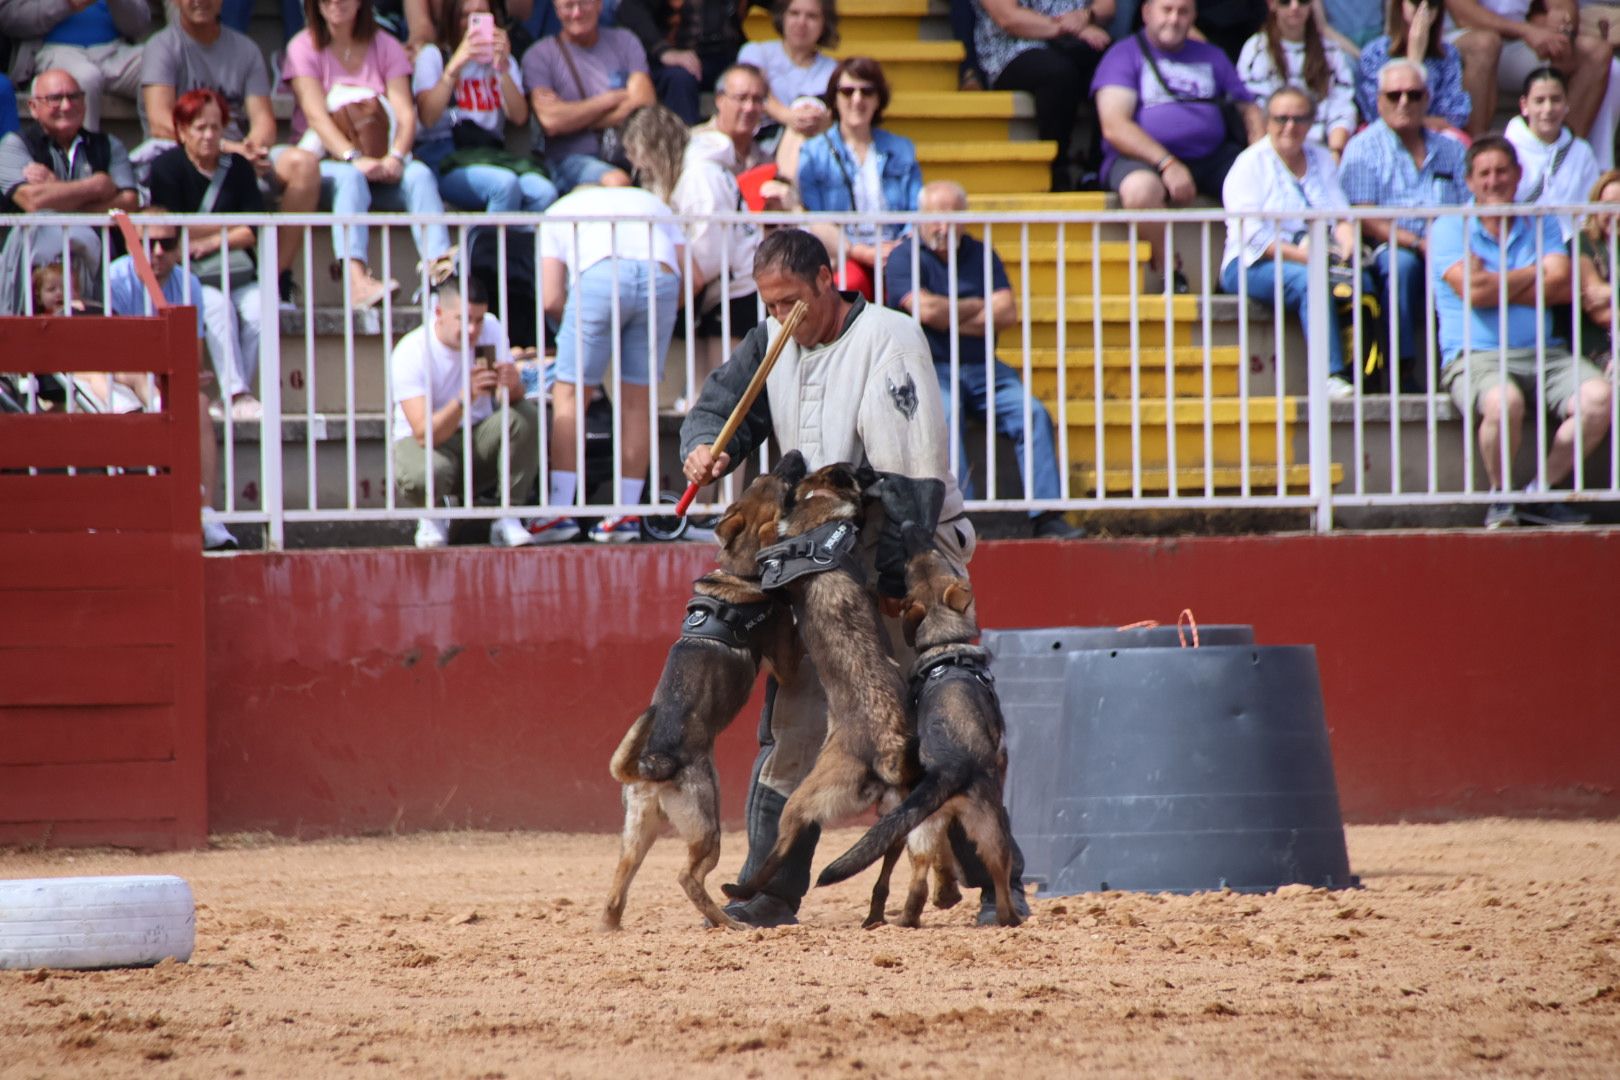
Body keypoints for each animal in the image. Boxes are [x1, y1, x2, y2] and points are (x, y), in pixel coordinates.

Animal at [599, 453, 806, 932]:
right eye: (782, 483)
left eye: (764, 477)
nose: (792, 456)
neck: (738, 569)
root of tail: (653, 765)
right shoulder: (785, 659)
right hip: (707, 827)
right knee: (687, 877)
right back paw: (727, 923)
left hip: (637, 834)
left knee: (619, 884)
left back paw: (611, 927)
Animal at [725, 463, 920, 906]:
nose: (880, 472)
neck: (823, 511)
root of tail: (887, 746)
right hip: (895, 813)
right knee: (887, 853)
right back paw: (876, 909)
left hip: (803, 798)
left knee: (779, 849)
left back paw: (741, 888)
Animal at [816, 524, 1017, 932]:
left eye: (926, 561)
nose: (910, 529)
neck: (945, 646)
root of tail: (950, 766)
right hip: (991, 826)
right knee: (999, 876)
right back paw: (1009, 919)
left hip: (927, 824)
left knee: (919, 876)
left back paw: (910, 917)